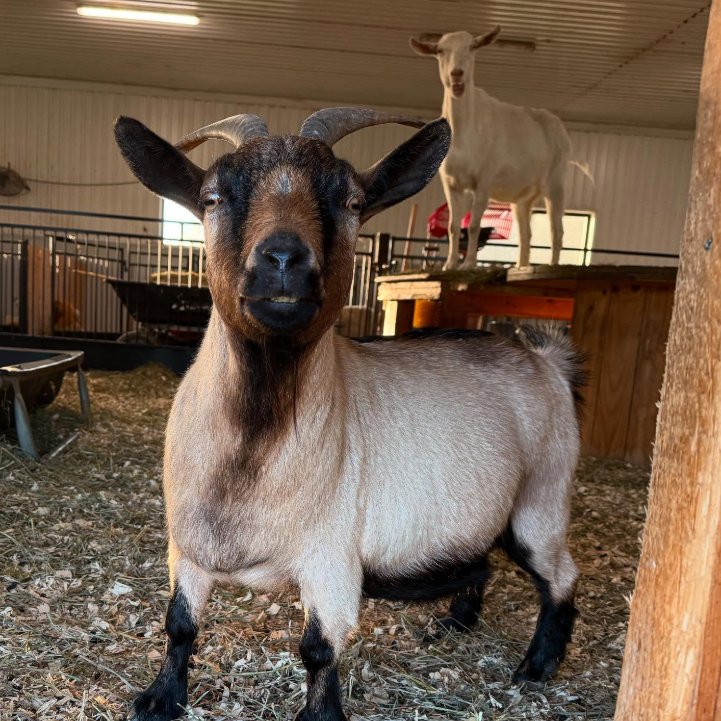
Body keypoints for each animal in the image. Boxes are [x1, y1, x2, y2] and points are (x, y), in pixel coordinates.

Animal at [114, 107, 584, 721]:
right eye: (213, 196)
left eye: (353, 201)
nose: (284, 260)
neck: (252, 451)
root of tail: (546, 359)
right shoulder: (185, 548)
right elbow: (180, 625)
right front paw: (159, 698)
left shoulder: (331, 558)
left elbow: (318, 649)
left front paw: (320, 714)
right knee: (482, 558)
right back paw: (455, 621)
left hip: (542, 497)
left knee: (560, 576)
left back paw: (536, 666)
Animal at [411, 28, 591, 270]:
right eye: (440, 50)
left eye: (472, 47)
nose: (457, 73)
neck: (464, 130)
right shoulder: (450, 182)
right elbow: (453, 226)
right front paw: (450, 264)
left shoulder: (484, 179)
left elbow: (474, 225)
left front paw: (469, 264)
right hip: (524, 197)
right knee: (526, 234)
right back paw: (521, 267)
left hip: (555, 182)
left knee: (557, 230)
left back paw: (552, 265)